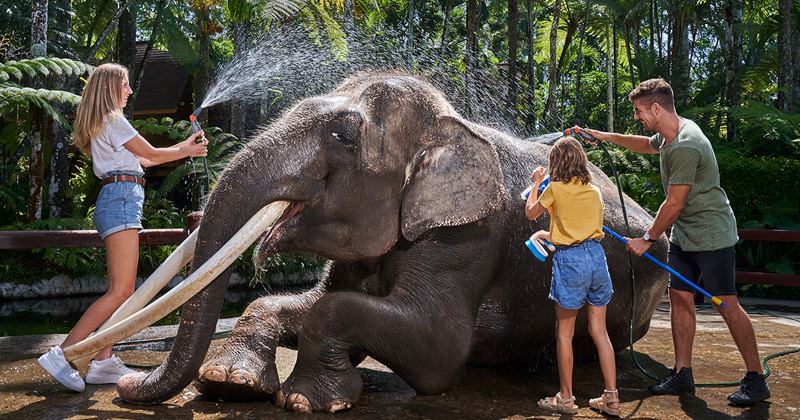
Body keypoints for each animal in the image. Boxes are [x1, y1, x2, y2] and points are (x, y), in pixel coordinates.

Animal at [115, 71, 668, 411]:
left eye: (343, 135)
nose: (124, 381)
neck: (450, 123)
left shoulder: (469, 235)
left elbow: (438, 349)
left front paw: (303, 400)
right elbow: (305, 300)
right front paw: (229, 382)